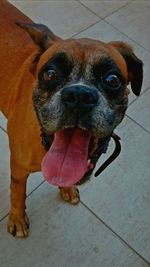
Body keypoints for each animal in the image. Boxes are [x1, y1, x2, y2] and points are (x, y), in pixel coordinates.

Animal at [0, 0, 143, 239]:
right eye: (50, 74)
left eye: (112, 79)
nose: (79, 95)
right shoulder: (18, 168)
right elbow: (18, 192)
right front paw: (18, 218)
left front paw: (65, 189)